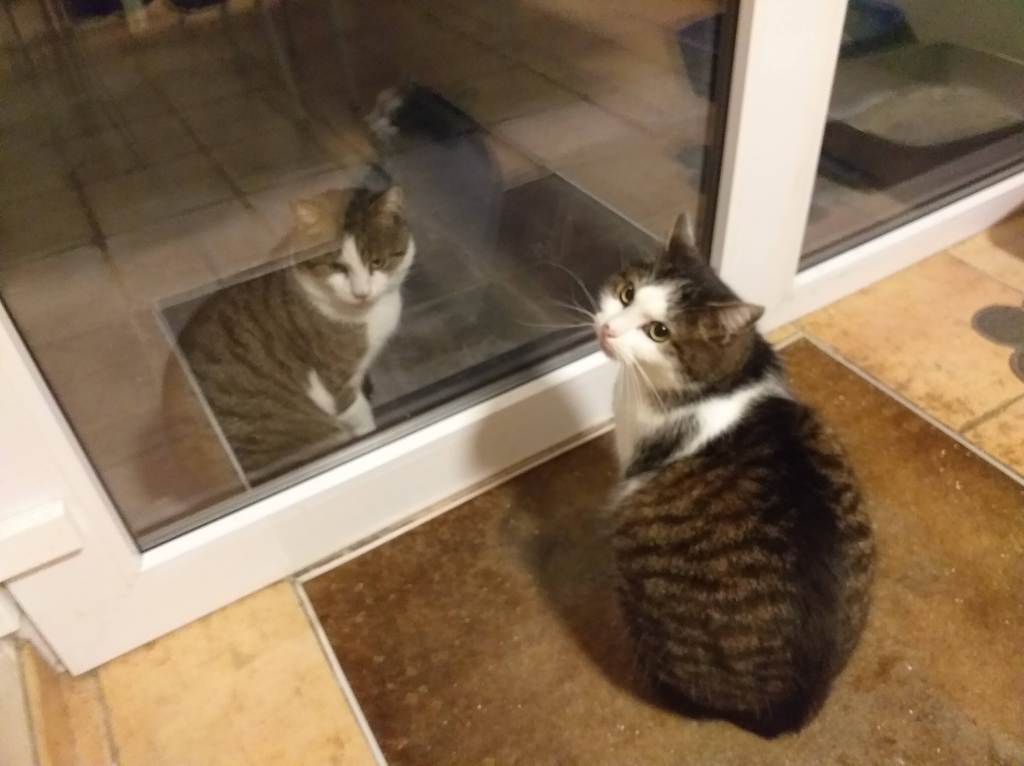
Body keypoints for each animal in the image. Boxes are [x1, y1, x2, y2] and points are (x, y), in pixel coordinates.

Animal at [166, 184, 414, 482]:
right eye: (337, 267)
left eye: (377, 262)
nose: (361, 293)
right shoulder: (336, 384)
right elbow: (359, 413)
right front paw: (369, 432)